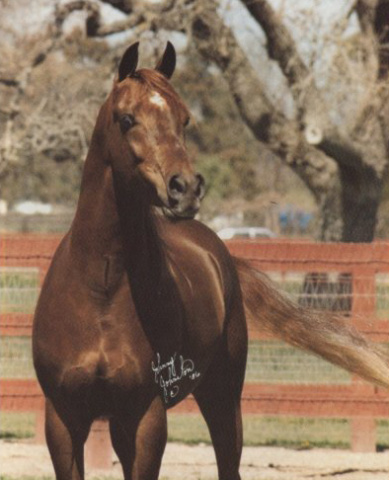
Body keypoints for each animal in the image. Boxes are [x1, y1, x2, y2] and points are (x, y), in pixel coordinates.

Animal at [33, 42, 388, 480]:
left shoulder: (146, 416)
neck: (100, 288)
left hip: (222, 396)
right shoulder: (64, 419)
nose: (185, 188)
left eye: (184, 118)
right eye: (127, 118)